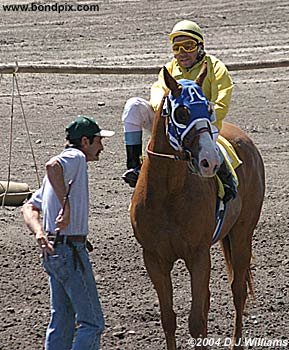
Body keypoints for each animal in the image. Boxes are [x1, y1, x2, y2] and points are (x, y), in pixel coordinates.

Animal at [129, 63, 264, 350]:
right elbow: (168, 318)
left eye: (209, 109)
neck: (168, 193)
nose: (210, 161)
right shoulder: (154, 258)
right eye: (181, 112)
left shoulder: (198, 255)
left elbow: (196, 321)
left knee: (238, 291)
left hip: (242, 233)